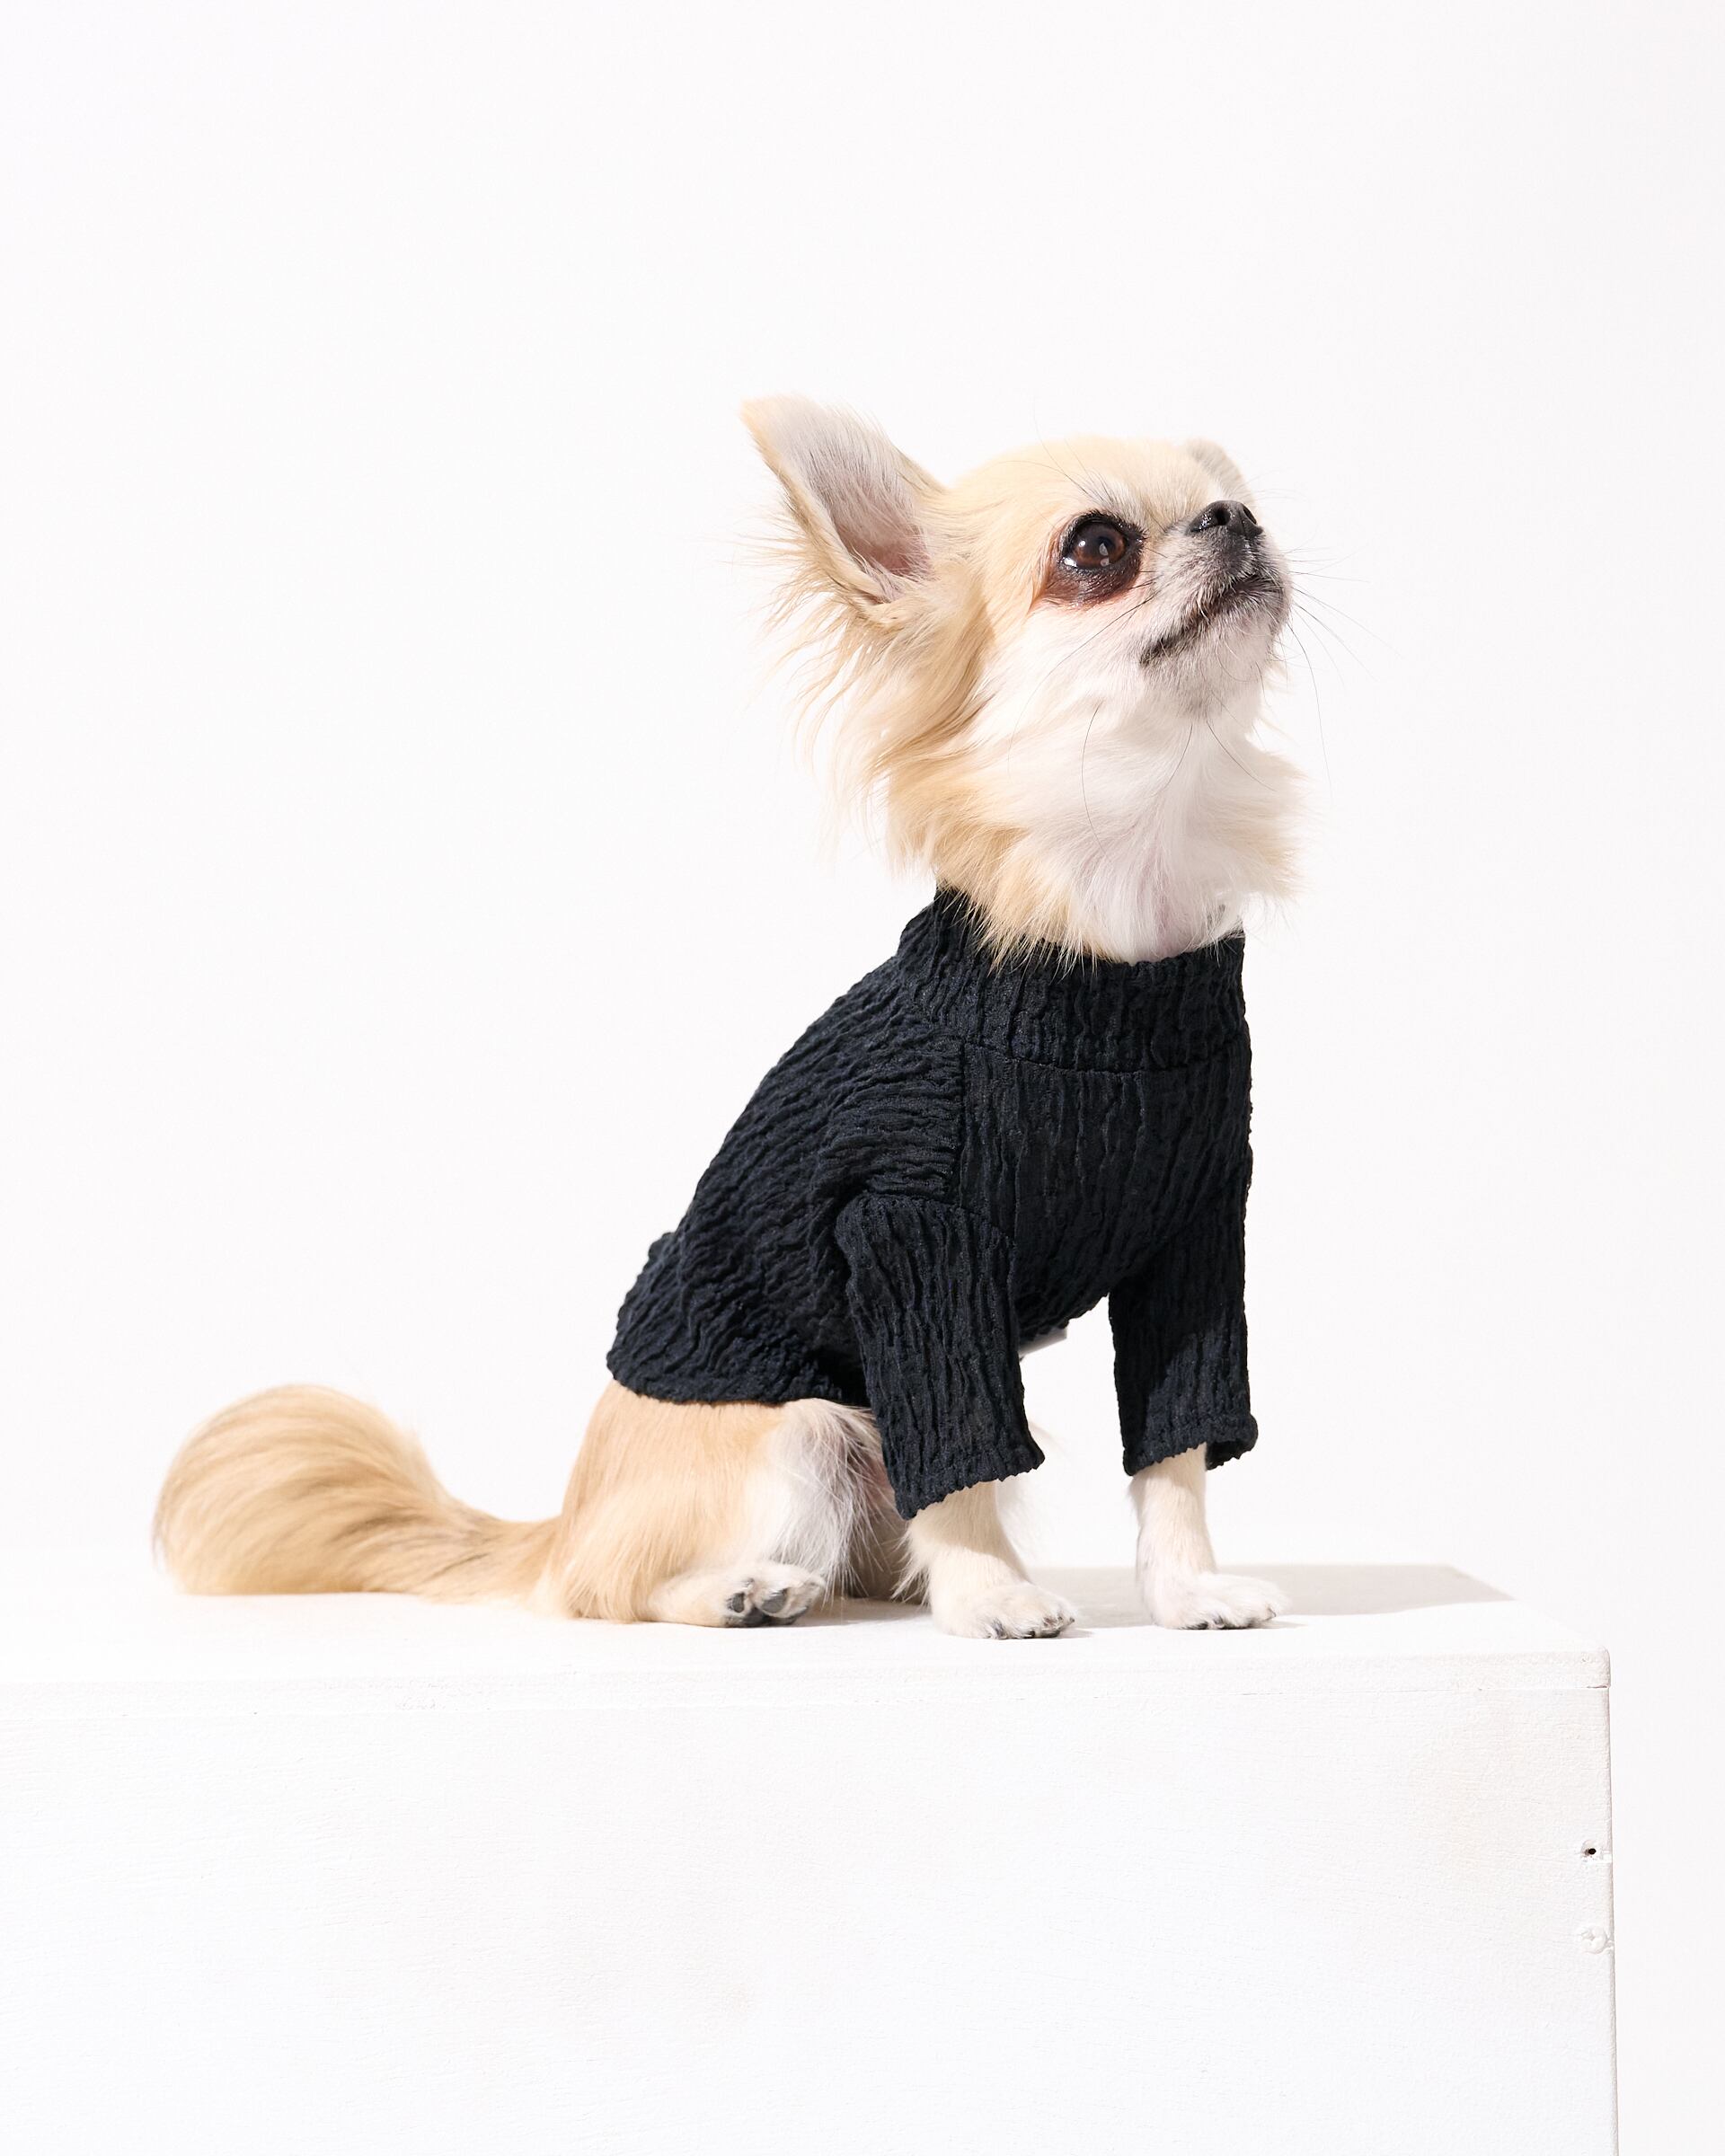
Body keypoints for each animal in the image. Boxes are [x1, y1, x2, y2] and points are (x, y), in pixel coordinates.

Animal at [155, 399, 1300, 1639]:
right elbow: (964, 1459)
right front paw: (993, 1595)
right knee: (607, 1588)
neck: (1106, 956)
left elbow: (1175, 1453)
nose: (1236, 521)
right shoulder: (914, 1250)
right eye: (1095, 549)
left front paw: (1187, 1591)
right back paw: (747, 1588)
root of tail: (561, 1521)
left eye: (1243, 499)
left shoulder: (1194, 1241)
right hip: (797, 1426)